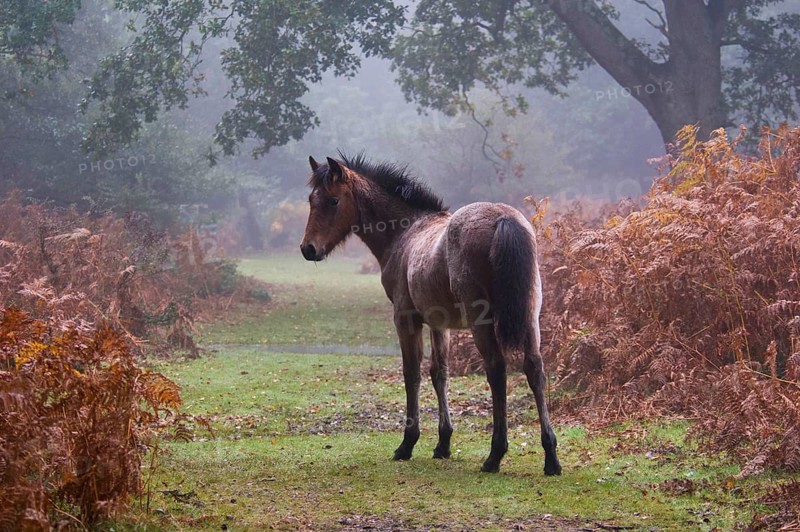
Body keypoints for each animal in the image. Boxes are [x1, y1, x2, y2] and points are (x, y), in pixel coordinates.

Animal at [300, 154, 561, 475]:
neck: (405, 232)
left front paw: (407, 443)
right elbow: (439, 373)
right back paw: (551, 457)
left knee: (496, 369)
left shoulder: (405, 319)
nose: (308, 249)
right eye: (312, 199)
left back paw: (495, 455)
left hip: (481, 320)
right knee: (534, 368)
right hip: (529, 315)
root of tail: (504, 219)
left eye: (334, 200)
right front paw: (443, 443)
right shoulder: (440, 323)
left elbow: (411, 373)